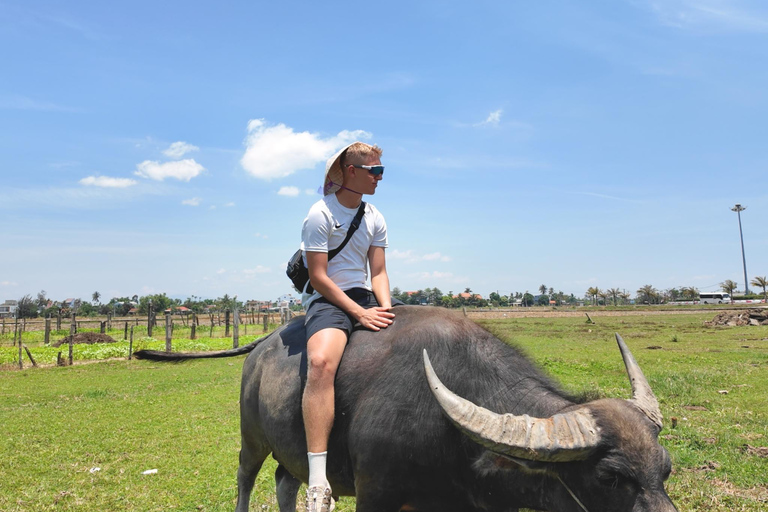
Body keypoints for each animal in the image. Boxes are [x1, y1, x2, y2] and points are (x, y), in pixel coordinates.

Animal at [136, 306, 678, 512]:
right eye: (609, 477)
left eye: (665, 468)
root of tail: (262, 347)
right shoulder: (377, 495)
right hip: (252, 438)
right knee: (246, 477)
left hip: (288, 448)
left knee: (286, 480)